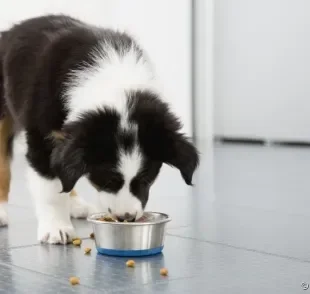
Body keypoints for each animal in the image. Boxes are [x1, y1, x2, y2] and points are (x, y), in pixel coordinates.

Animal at [0, 13, 199, 243]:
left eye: (146, 179)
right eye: (108, 180)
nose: (126, 218)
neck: (116, 83)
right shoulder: (42, 136)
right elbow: (50, 188)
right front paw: (56, 228)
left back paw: (76, 205)